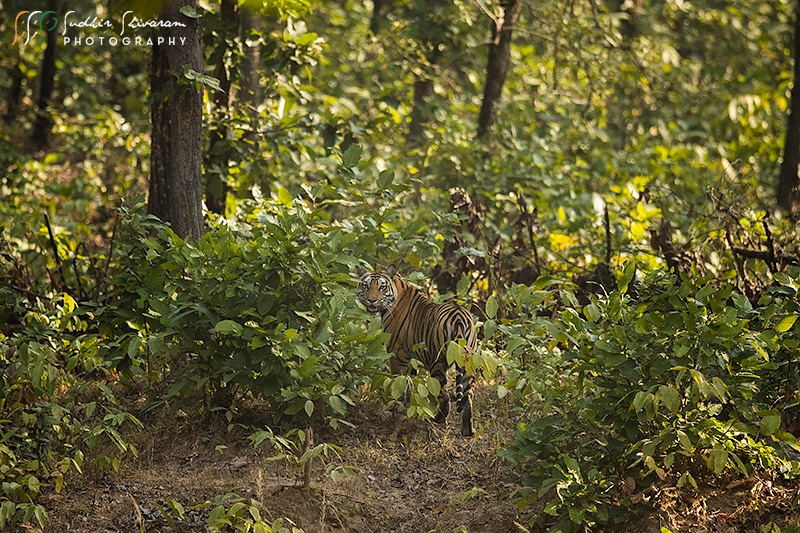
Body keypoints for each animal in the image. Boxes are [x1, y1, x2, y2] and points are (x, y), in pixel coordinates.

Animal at [356, 264, 476, 434]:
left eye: (382, 287)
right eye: (366, 286)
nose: (371, 300)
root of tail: (459, 316)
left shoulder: (396, 355)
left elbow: (398, 384)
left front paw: (395, 409)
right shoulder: (410, 358)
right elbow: (409, 382)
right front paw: (406, 407)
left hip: (437, 361)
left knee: (444, 395)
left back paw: (438, 419)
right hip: (469, 362)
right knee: (469, 396)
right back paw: (467, 430)